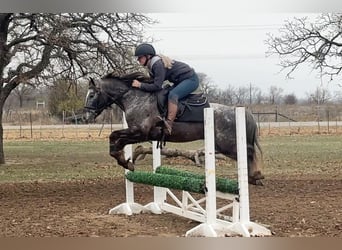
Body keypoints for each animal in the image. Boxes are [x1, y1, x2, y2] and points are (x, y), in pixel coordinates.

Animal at [85, 71, 264, 185]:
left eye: (92, 95)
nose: (86, 116)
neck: (136, 99)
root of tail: (241, 111)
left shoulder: (140, 132)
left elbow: (116, 138)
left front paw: (125, 161)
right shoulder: (139, 134)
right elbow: (114, 138)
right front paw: (124, 160)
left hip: (227, 145)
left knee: (248, 153)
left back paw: (256, 176)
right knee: (248, 154)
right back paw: (253, 178)